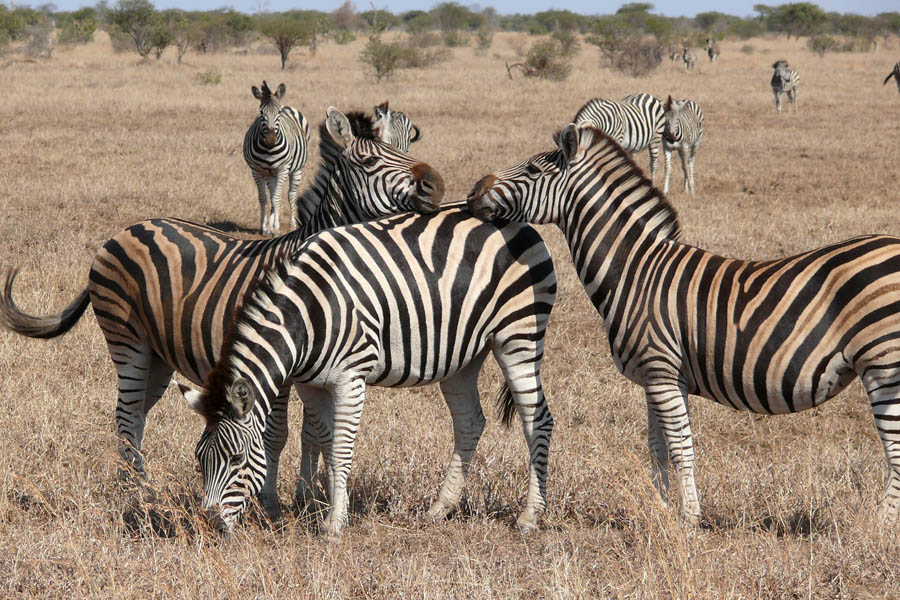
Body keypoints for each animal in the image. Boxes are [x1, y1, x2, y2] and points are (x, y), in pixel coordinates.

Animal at [0, 105, 442, 516]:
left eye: (403, 148)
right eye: (370, 162)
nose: (437, 185)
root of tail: (124, 230)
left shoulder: (312, 365)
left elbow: (312, 434)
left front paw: (307, 496)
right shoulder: (280, 367)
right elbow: (276, 435)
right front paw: (272, 504)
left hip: (159, 356)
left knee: (136, 416)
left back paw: (138, 484)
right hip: (128, 342)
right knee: (125, 415)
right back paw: (137, 492)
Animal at [176, 209, 556, 536]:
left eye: (236, 458)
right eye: (199, 458)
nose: (210, 523)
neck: (307, 315)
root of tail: (519, 224)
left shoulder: (350, 378)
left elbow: (341, 449)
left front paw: (333, 525)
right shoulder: (311, 384)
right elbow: (328, 446)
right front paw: (332, 508)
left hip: (518, 334)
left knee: (537, 420)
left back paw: (529, 516)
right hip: (464, 356)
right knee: (470, 422)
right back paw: (440, 508)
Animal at [244, 81, 312, 236]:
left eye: (278, 113)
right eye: (261, 112)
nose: (271, 138)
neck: (269, 149)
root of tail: (288, 106)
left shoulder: (283, 169)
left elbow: (277, 198)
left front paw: (276, 228)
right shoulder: (256, 171)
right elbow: (263, 198)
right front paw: (264, 227)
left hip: (296, 170)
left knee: (291, 195)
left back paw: (292, 224)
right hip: (270, 174)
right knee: (272, 194)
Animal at [468, 120, 900, 524]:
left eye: (532, 170)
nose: (472, 192)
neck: (635, 270)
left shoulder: (661, 368)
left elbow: (680, 447)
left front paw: (690, 517)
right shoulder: (655, 377)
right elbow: (657, 447)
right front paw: (660, 510)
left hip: (883, 365)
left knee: (895, 446)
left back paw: (880, 524)